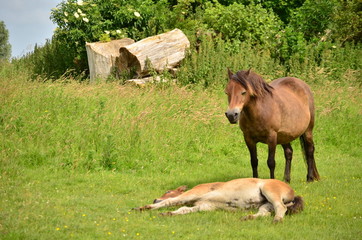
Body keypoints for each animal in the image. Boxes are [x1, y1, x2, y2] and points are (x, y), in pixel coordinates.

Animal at [133, 177, 302, 222]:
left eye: (168, 191)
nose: (155, 199)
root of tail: (292, 191)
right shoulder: (204, 205)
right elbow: (184, 209)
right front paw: (167, 214)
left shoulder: (193, 194)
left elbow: (171, 202)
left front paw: (143, 207)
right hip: (266, 204)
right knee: (264, 213)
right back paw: (246, 217)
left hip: (269, 191)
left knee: (281, 207)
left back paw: (277, 220)